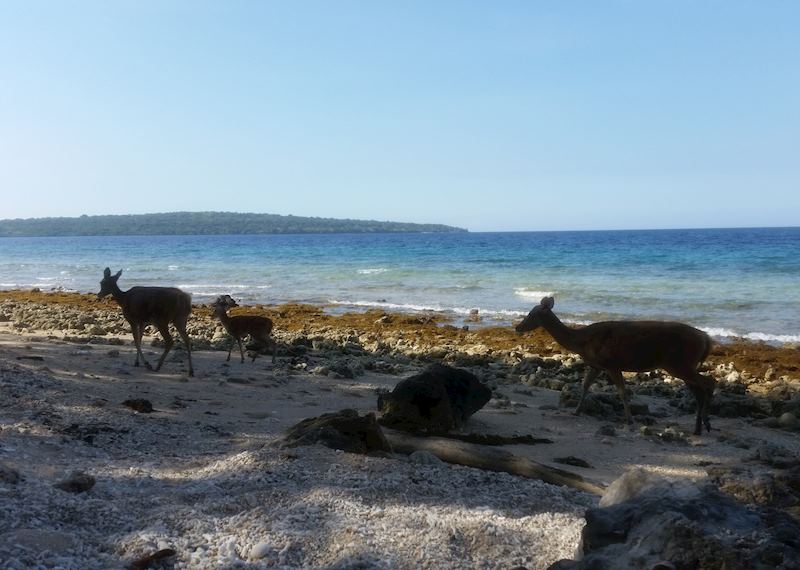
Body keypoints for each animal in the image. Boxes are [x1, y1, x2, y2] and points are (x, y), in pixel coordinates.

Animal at [515, 296, 715, 435]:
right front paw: (577, 411)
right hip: (684, 365)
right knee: (699, 390)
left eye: (532, 313)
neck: (581, 342)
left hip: (679, 363)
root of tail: (706, 340)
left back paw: (707, 423)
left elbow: (622, 392)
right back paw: (698, 428)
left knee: (709, 383)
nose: (517, 327)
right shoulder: (597, 365)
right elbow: (585, 385)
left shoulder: (611, 363)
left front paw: (630, 420)